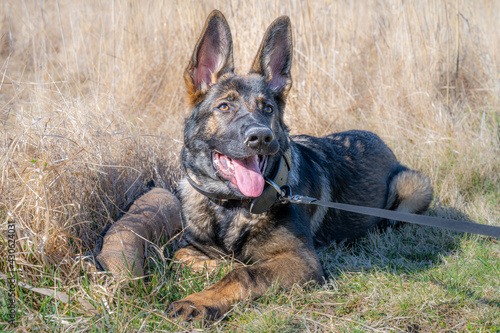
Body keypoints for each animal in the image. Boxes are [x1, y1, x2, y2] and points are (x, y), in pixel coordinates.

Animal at [169, 10, 434, 320]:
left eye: (268, 109)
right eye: (224, 107)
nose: (261, 137)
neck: (232, 208)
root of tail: (378, 138)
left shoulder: (303, 261)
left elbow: (243, 274)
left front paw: (198, 300)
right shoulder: (192, 247)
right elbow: (183, 256)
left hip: (415, 184)